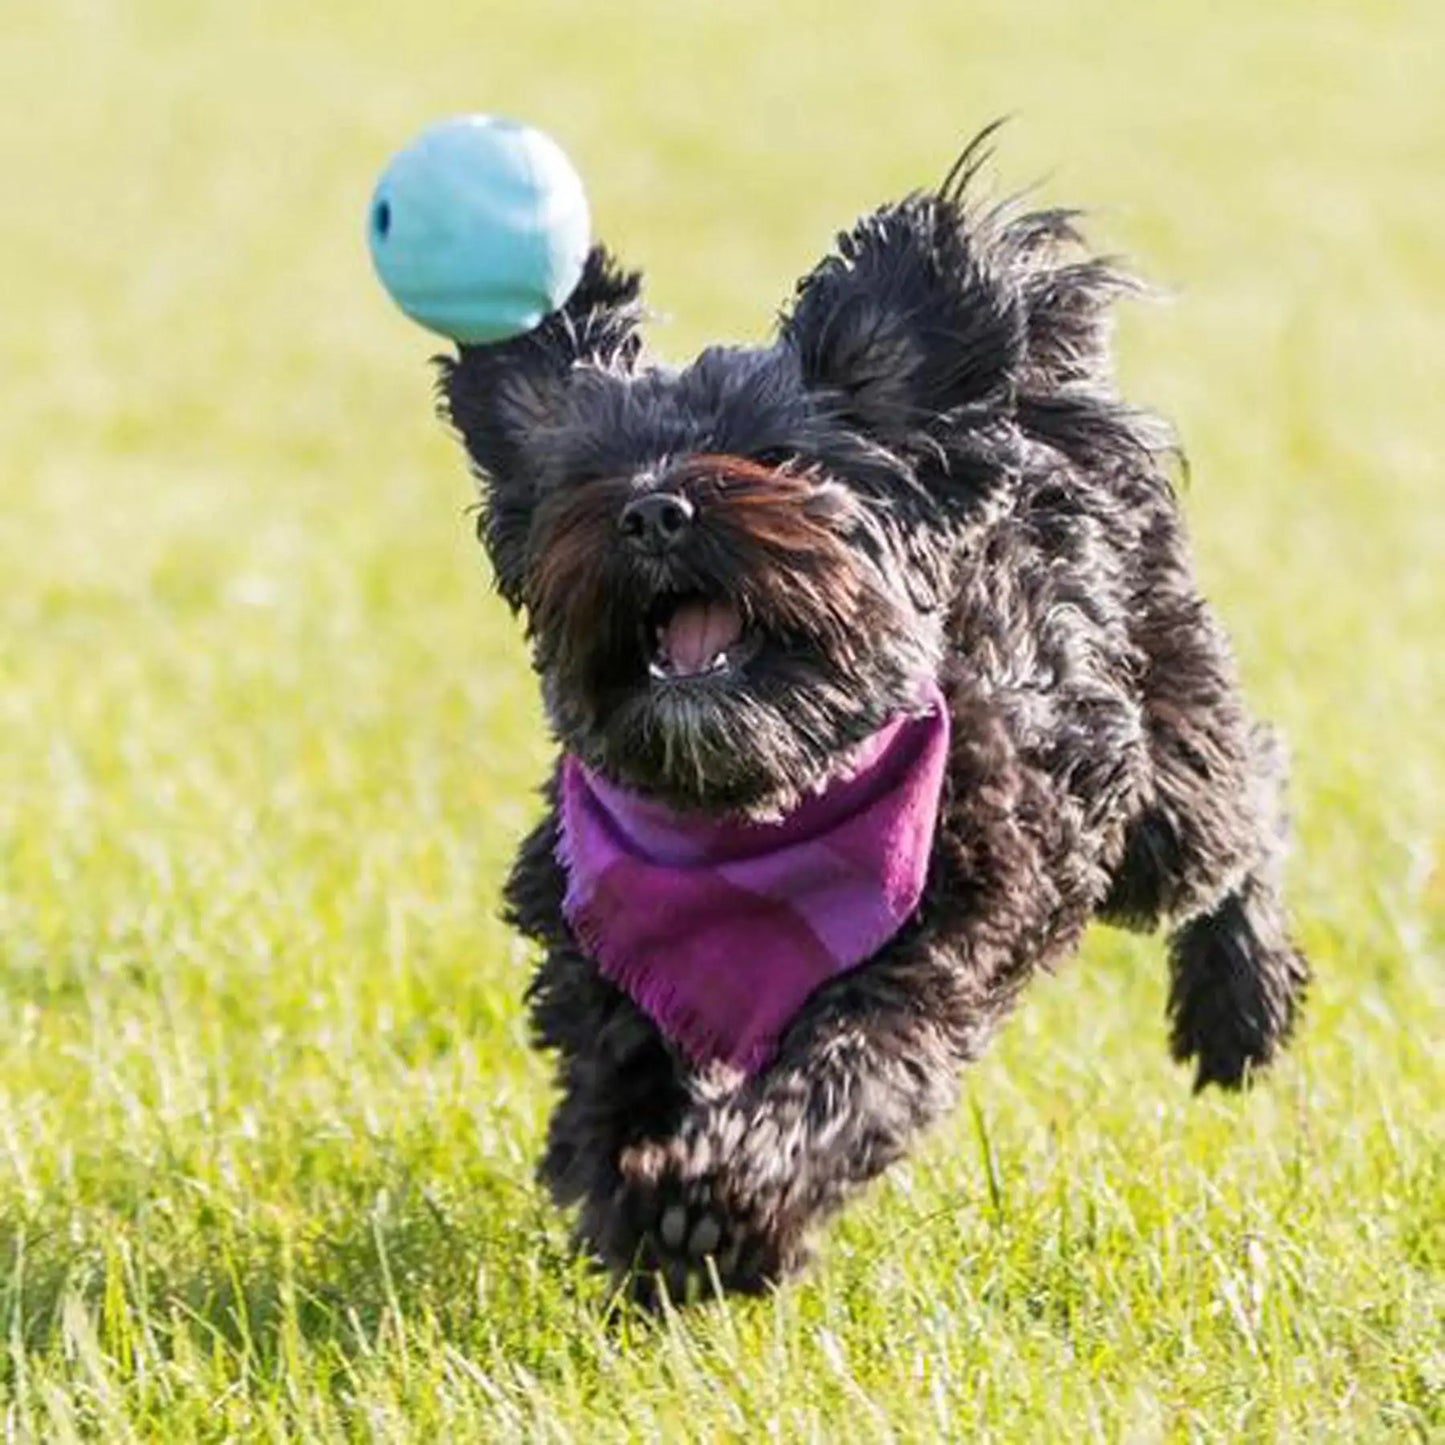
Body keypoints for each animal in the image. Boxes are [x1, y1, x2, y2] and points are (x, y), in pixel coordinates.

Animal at [427, 135, 1312, 1306]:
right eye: (591, 474)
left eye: (774, 455)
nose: (654, 508)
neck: (748, 807)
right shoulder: (596, 962)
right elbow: (606, 1090)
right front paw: (640, 1212)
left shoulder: (929, 948)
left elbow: (846, 1076)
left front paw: (722, 1209)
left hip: (1157, 785)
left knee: (1246, 804)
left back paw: (1239, 1010)